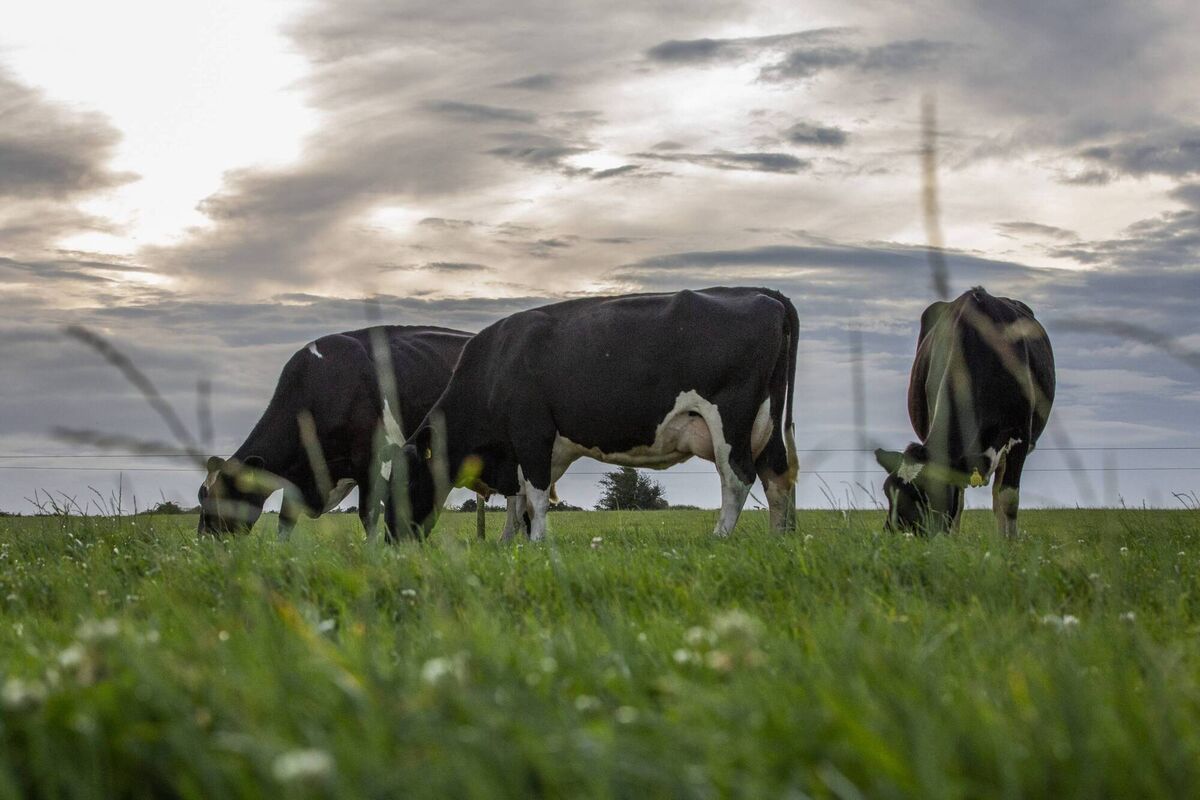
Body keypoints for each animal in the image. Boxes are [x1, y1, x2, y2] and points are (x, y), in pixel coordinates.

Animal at [198, 325, 472, 540]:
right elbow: (285, 524)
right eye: (202, 496)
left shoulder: (373, 461)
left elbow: (369, 517)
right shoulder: (298, 477)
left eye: (226, 496)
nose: (202, 542)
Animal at [394, 287, 799, 541]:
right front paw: (514, 544)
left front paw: (537, 542)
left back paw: (719, 537)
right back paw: (777, 539)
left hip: (730, 417)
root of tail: (767, 296)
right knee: (776, 474)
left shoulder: (532, 433)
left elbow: (535, 496)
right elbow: (523, 499)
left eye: (402, 483)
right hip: (766, 422)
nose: (392, 539)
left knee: (738, 476)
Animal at [874, 287, 1055, 537]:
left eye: (927, 494)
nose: (893, 535)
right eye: (887, 491)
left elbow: (1009, 499)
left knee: (998, 496)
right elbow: (957, 502)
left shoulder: (1019, 435)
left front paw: (1009, 543)